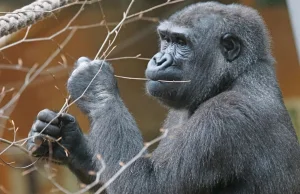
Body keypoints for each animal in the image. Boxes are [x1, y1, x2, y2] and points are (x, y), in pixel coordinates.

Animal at [27, 1, 300, 194]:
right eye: (166, 39)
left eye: (181, 42)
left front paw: (95, 84)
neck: (234, 77)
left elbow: (145, 186)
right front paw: (67, 139)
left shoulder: (227, 115)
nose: (159, 60)